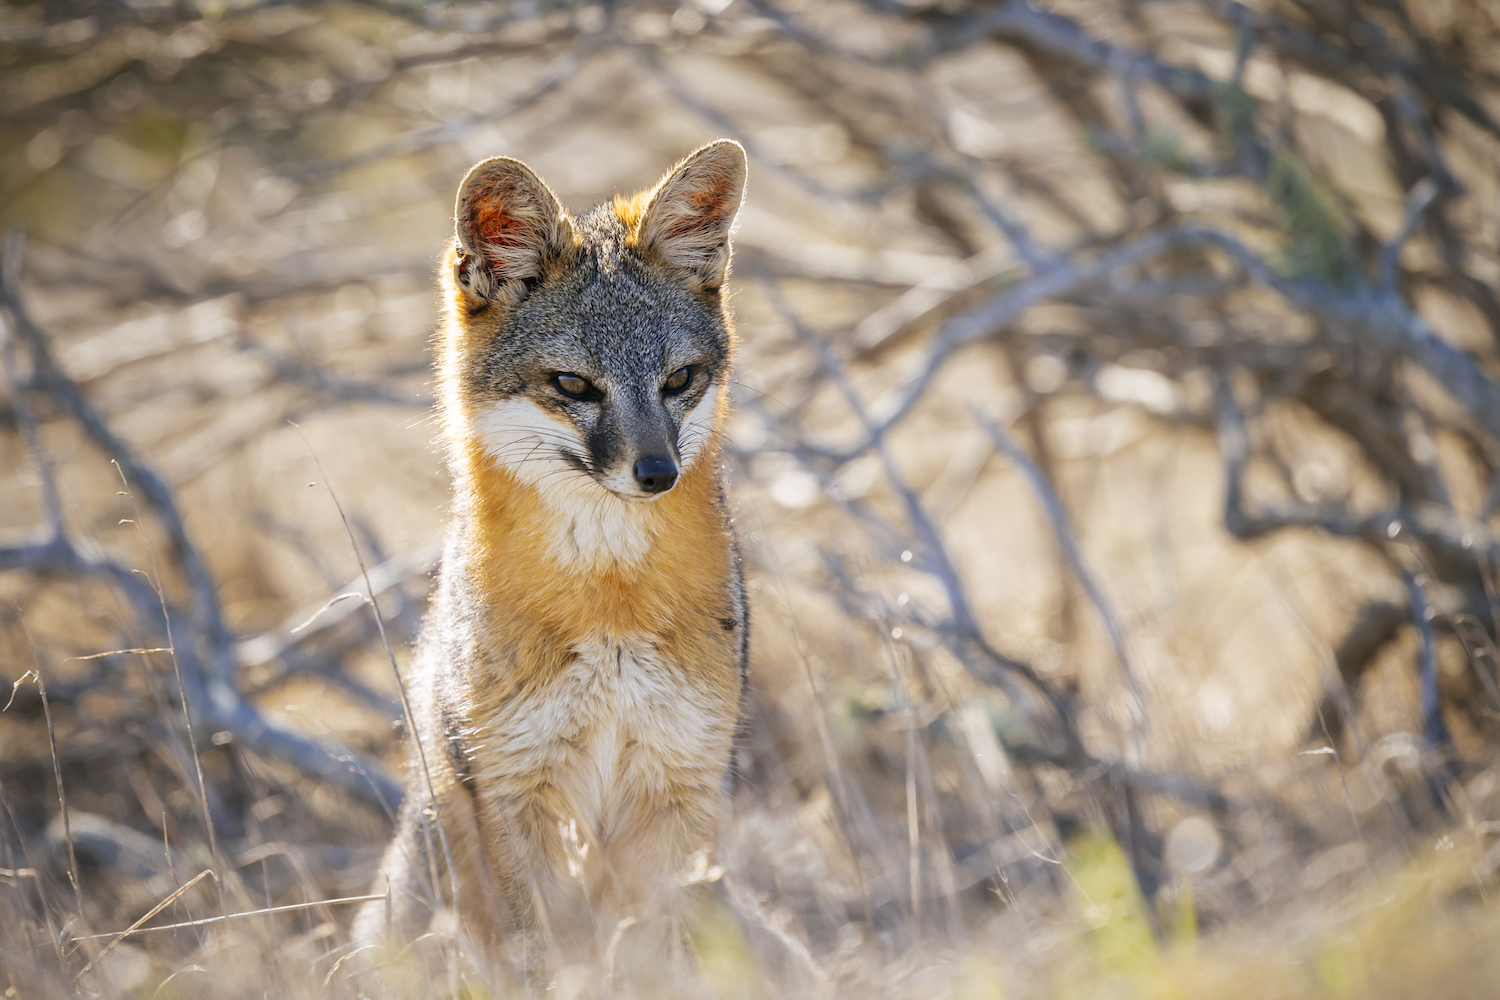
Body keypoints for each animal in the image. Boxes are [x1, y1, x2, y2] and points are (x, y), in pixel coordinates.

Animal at [351, 140, 750, 977]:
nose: (657, 473)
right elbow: (538, 962)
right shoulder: (513, 789)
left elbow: (656, 962)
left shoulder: (681, 781)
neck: (610, 606)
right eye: (574, 384)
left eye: (678, 379)